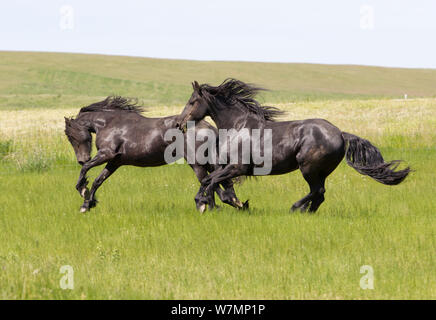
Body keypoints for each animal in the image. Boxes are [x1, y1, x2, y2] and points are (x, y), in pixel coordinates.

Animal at [64, 96, 245, 214]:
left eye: (70, 136)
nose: (82, 159)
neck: (109, 124)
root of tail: (209, 127)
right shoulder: (114, 162)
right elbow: (97, 181)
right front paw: (87, 205)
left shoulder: (106, 154)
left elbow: (86, 171)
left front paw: (83, 191)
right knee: (217, 180)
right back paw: (232, 203)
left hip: (196, 162)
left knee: (208, 181)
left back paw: (209, 206)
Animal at [176, 79, 408, 212]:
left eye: (192, 102)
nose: (179, 123)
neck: (238, 126)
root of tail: (341, 134)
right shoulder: (227, 167)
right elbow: (209, 180)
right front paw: (211, 203)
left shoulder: (237, 168)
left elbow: (212, 182)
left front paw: (207, 203)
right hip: (320, 171)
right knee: (320, 195)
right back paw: (306, 212)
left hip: (309, 168)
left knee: (317, 191)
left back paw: (295, 208)